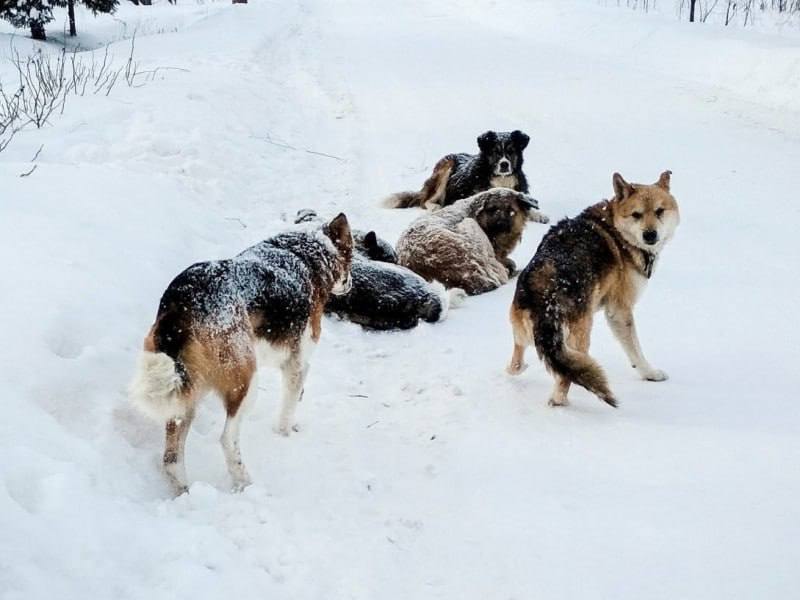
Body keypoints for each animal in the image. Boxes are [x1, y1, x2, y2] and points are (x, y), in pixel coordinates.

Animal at [129, 213, 354, 494]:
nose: (351, 284)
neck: (305, 253)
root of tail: (182, 303)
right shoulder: (298, 364)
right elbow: (288, 410)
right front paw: (285, 437)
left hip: (184, 393)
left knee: (171, 458)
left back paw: (185, 491)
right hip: (245, 381)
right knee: (227, 438)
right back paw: (244, 482)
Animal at [382, 130, 532, 210]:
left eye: (511, 151)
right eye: (495, 152)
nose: (504, 164)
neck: (501, 179)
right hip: (446, 167)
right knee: (425, 202)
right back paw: (436, 207)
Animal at [510, 171, 680, 410]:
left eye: (659, 211)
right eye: (636, 215)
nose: (650, 235)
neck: (616, 229)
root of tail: (544, 290)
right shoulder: (619, 312)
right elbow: (636, 350)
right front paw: (650, 373)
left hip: (522, 333)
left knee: (516, 364)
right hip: (580, 338)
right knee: (562, 386)